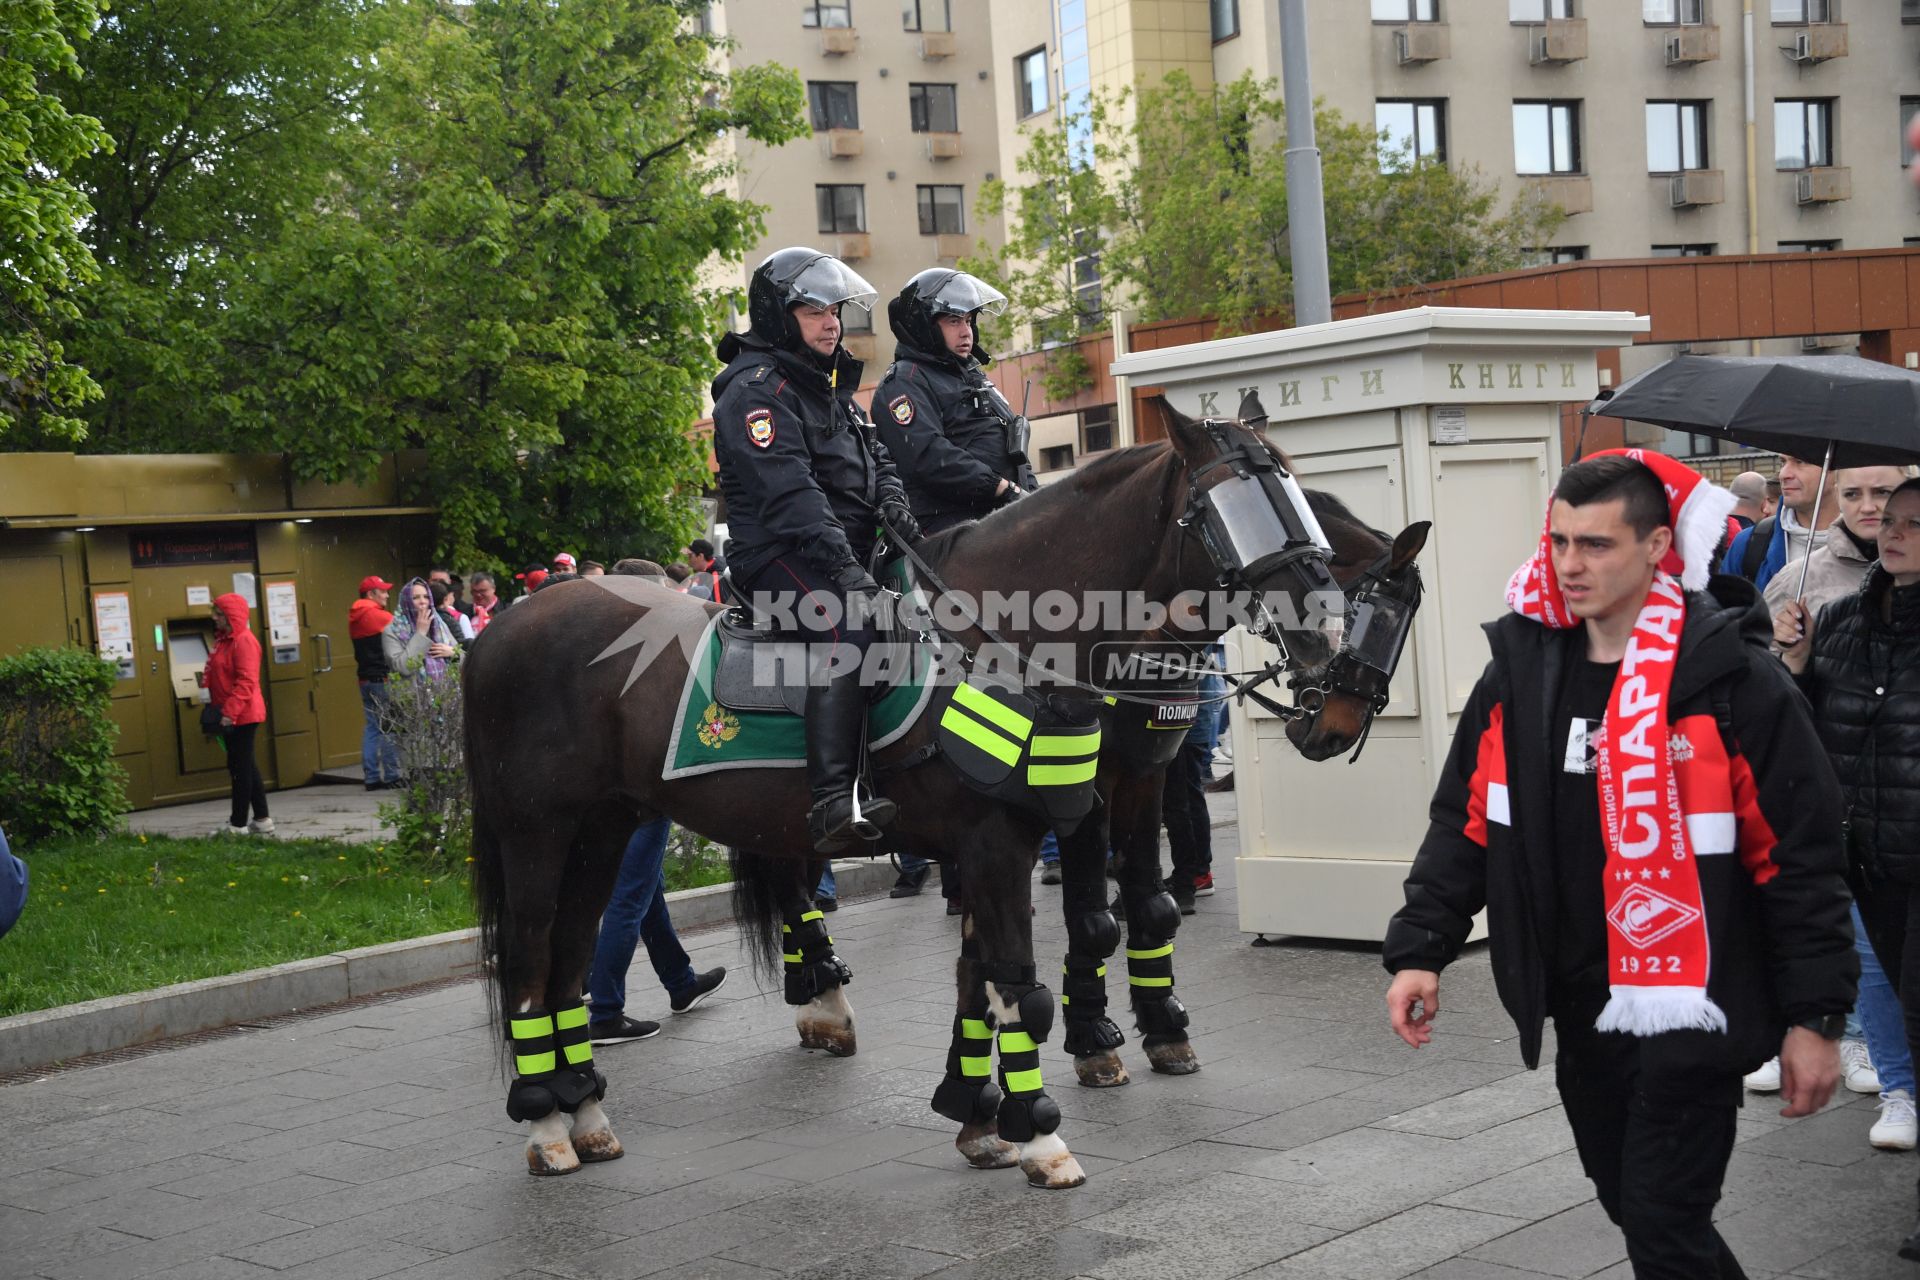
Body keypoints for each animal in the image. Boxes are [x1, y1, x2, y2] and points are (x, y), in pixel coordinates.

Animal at [464, 404, 1428, 1189]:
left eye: (1297, 498)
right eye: (1229, 507)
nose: (1324, 646)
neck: (1011, 634)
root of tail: (505, 626)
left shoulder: (1042, 823)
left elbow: (993, 975)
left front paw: (981, 1115)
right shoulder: (1013, 838)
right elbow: (1030, 976)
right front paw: (1047, 1130)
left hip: (603, 829)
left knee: (568, 959)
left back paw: (588, 1112)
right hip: (538, 835)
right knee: (530, 964)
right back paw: (548, 1123)